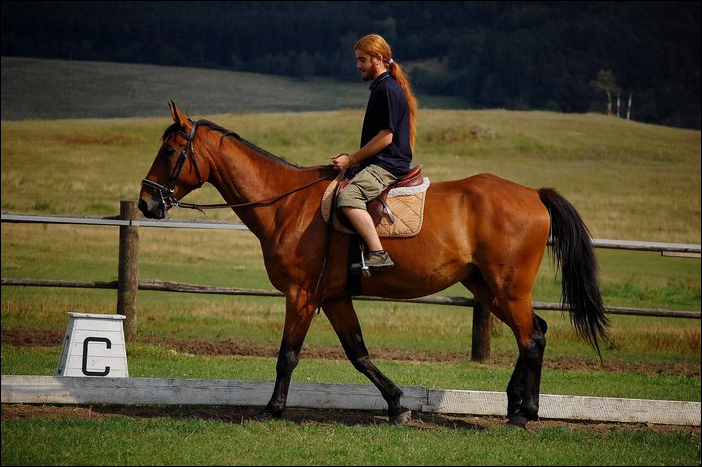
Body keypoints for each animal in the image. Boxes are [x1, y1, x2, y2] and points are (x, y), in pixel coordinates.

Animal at [139, 101, 612, 428]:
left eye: (170, 150)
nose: (145, 202)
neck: (287, 203)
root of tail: (533, 193)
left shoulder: (301, 295)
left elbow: (287, 355)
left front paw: (272, 409)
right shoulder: (333, 297)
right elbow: (359, 354)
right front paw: (398, 405)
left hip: (508, 287)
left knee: (531, 337)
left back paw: (522, 413)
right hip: (486, 286)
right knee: (534, 333)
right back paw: (518, 405)